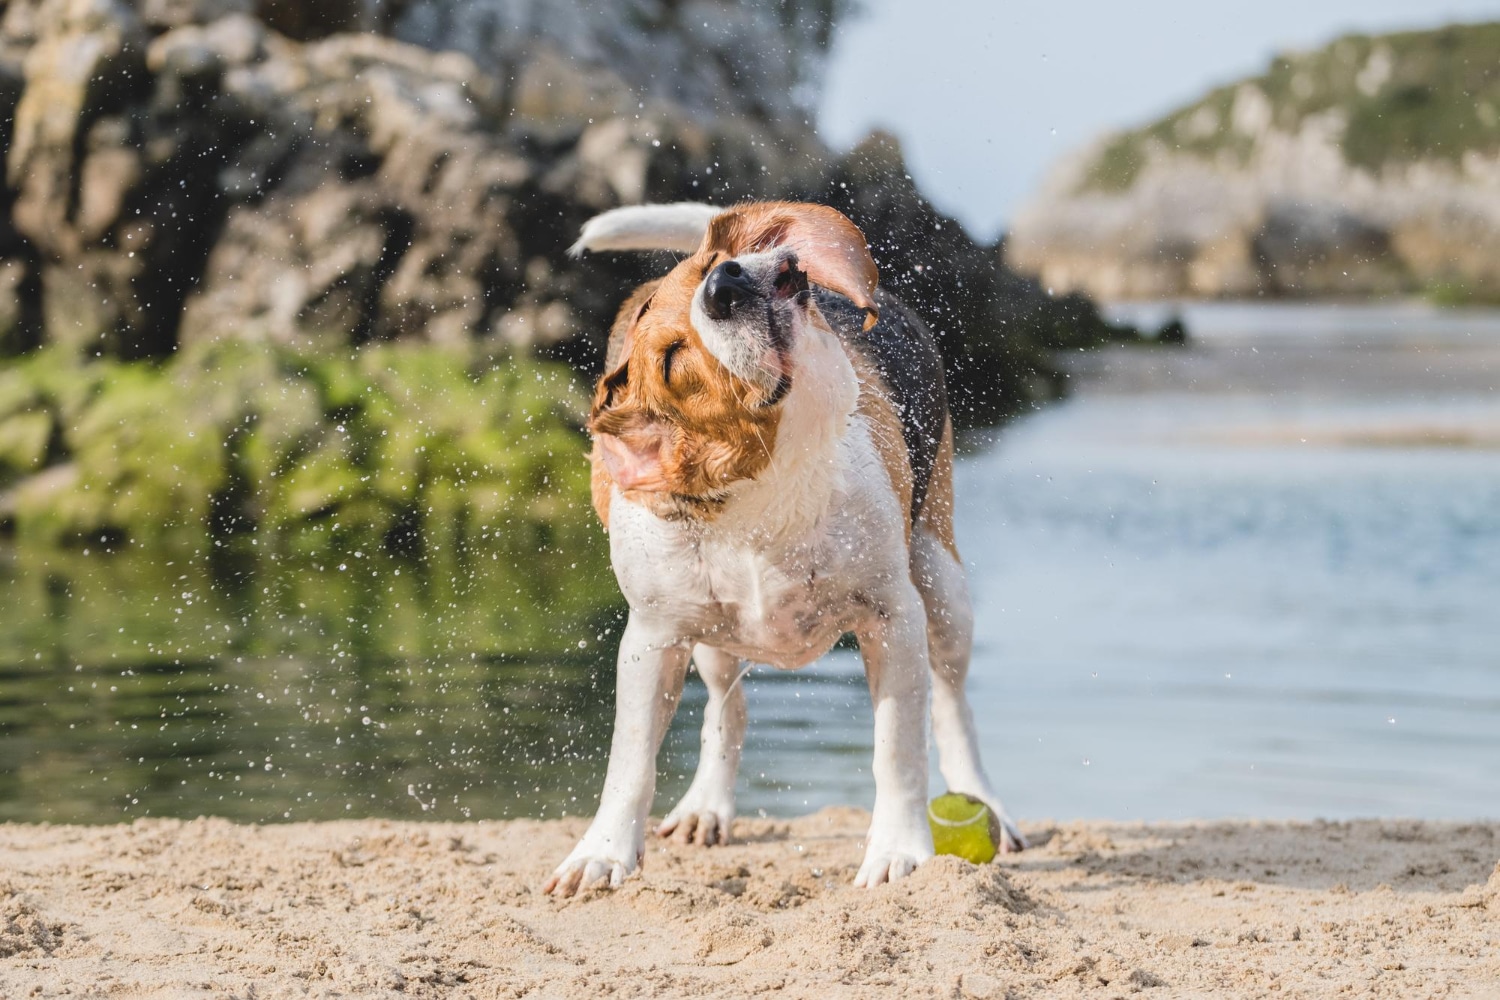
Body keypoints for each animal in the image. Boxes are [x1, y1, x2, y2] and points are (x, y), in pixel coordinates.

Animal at [546, 199, 1026, 893]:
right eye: (671, 360)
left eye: (714, 267)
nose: (727, 282)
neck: (767, 484)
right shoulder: (652, 638)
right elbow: (630, 761)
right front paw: (602, 853)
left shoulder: (892, 619)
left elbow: (898, 748)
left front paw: (897, 850)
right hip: (709, 636)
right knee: (730, 707)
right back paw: (706, 806)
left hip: (943, 587)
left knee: (951, 703)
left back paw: (984, 803)